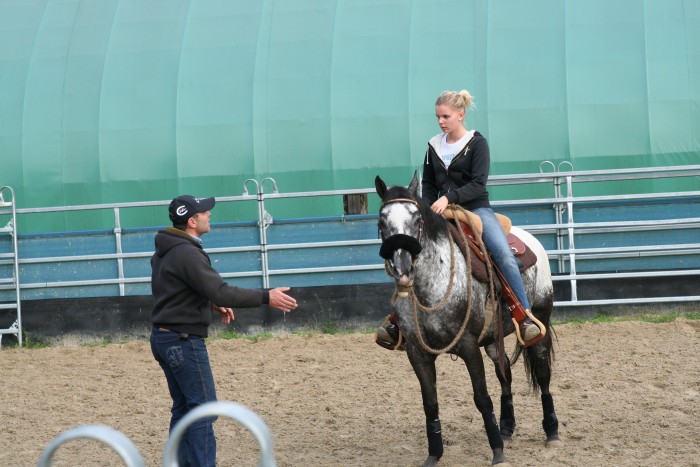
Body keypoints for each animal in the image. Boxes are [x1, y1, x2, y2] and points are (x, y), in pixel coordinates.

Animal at [374, 174, 560, 466]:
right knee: (504, 375)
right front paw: (434, 454)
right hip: (493, 340)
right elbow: (430, 403)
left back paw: (551, 432)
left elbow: (482, 398)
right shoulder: (417, 352)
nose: (403, 271)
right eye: (382, 222)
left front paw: (498, 453)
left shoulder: (469, 346)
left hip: (540, 317)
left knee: (542, 375)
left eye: (417, 220)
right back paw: (506, 428)